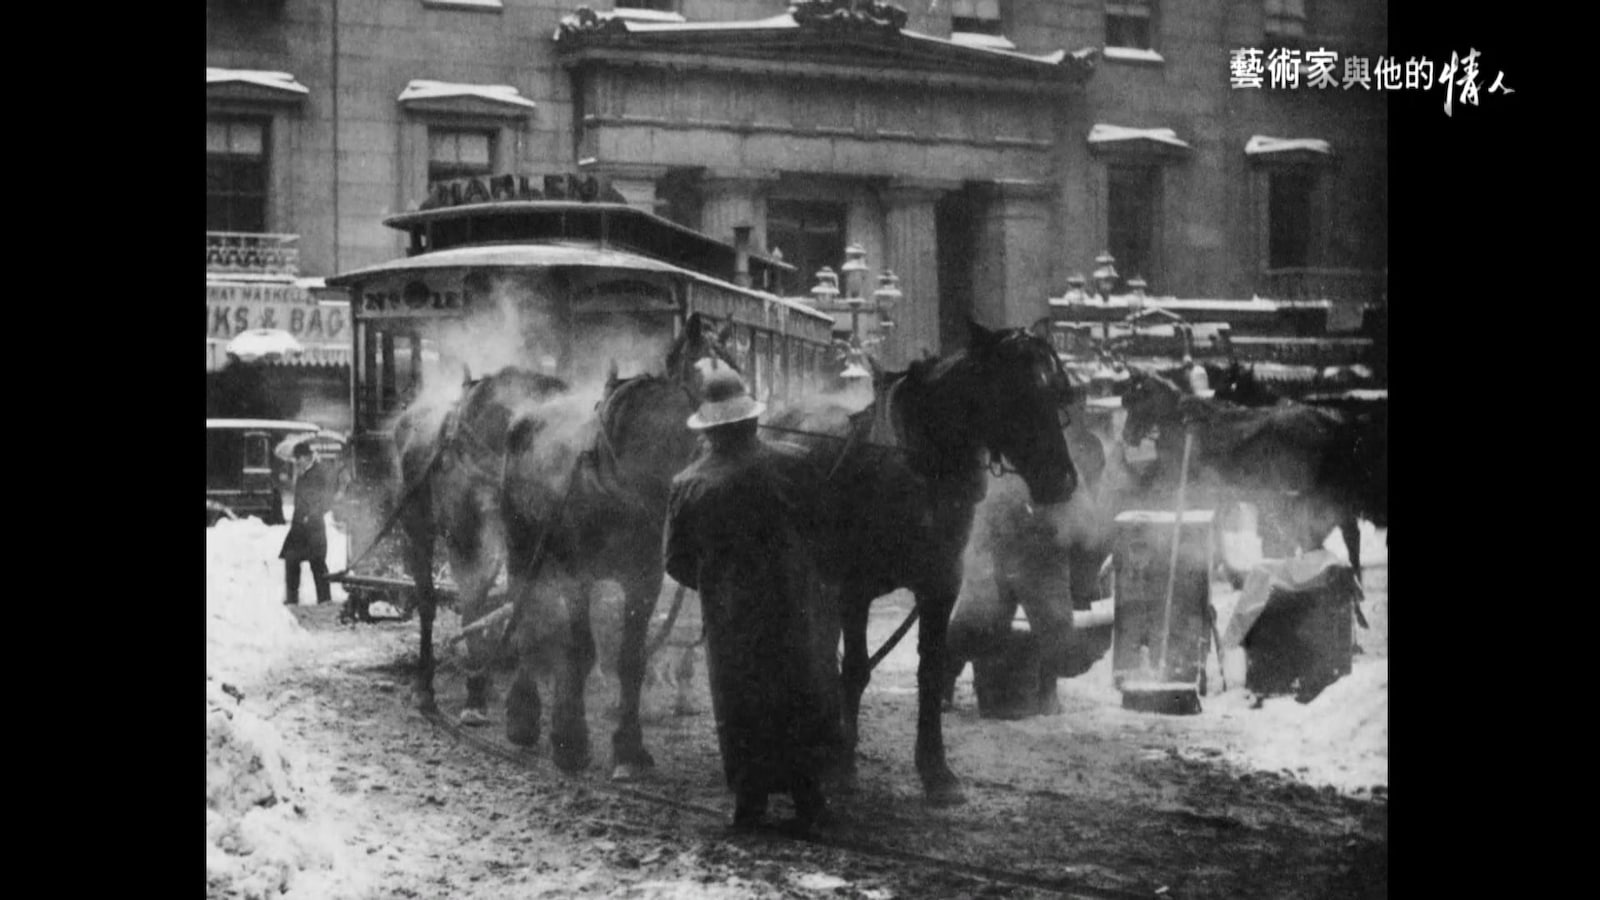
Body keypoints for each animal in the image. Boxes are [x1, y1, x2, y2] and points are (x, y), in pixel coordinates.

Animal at [768, 320, 1081, 797]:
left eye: (1055, 394)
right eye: (1014, 393)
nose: (1062, 481)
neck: (918, 467)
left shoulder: (939, 587)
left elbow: (931, 670)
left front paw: (935, 769)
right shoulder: (855, 588)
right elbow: (856, 669)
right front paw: (843, 764)